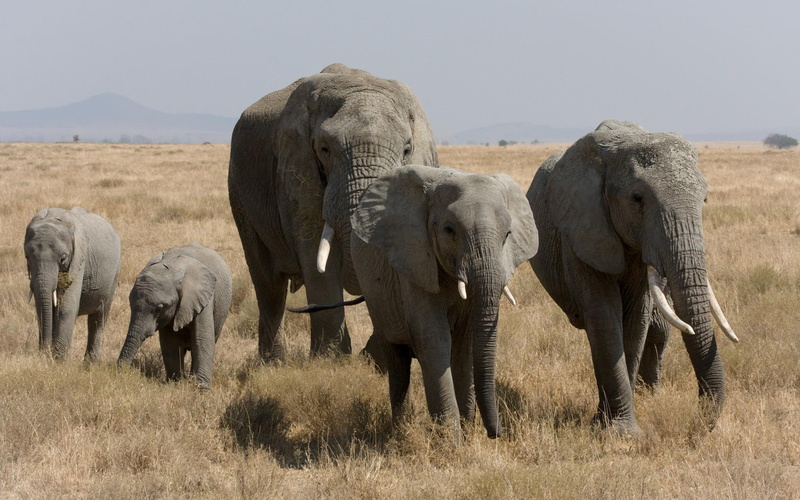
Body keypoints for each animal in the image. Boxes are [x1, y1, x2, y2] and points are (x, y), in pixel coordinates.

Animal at [24, 207, 120, 361]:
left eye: (63, 258)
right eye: (27, 257)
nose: (44, 352)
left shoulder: (79, 258)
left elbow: (67, 308)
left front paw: (59, 361)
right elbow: (43, 307)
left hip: (114, 275)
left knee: (98, 319)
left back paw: (89, 365)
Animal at [117, 242, 232, 391]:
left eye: (159, 309)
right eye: (130, 304)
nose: (120, 372)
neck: (171, 267)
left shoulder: (202, 298)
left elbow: (203, 340)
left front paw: (202, 391)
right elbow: (170, 343)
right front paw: (175, 384)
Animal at [228, 63, 438, 362]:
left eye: (407, 149)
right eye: (324, 149)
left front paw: (375, 357)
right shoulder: (296, 170)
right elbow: (315, 254)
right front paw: (331, 360)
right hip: (239, 191)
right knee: (268, 283)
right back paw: (273, 362)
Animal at [350, 165, 538, 439]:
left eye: (507, 235)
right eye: (449, 230)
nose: (499, 433)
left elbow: (463, 346)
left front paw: (467, 432)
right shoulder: (415, 261)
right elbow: (435, 339)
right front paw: (450, 439)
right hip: (376, 297)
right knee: (397, 362)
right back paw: (400, 430)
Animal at [527, 119, 738, 435]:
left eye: (704, 199)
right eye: (637, 199)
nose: (699, 424)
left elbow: (636, 318)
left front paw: (613, 427)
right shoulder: (581, 231)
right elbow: (604, 316)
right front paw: (619, 433)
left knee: (659, 327)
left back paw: (647, 393)